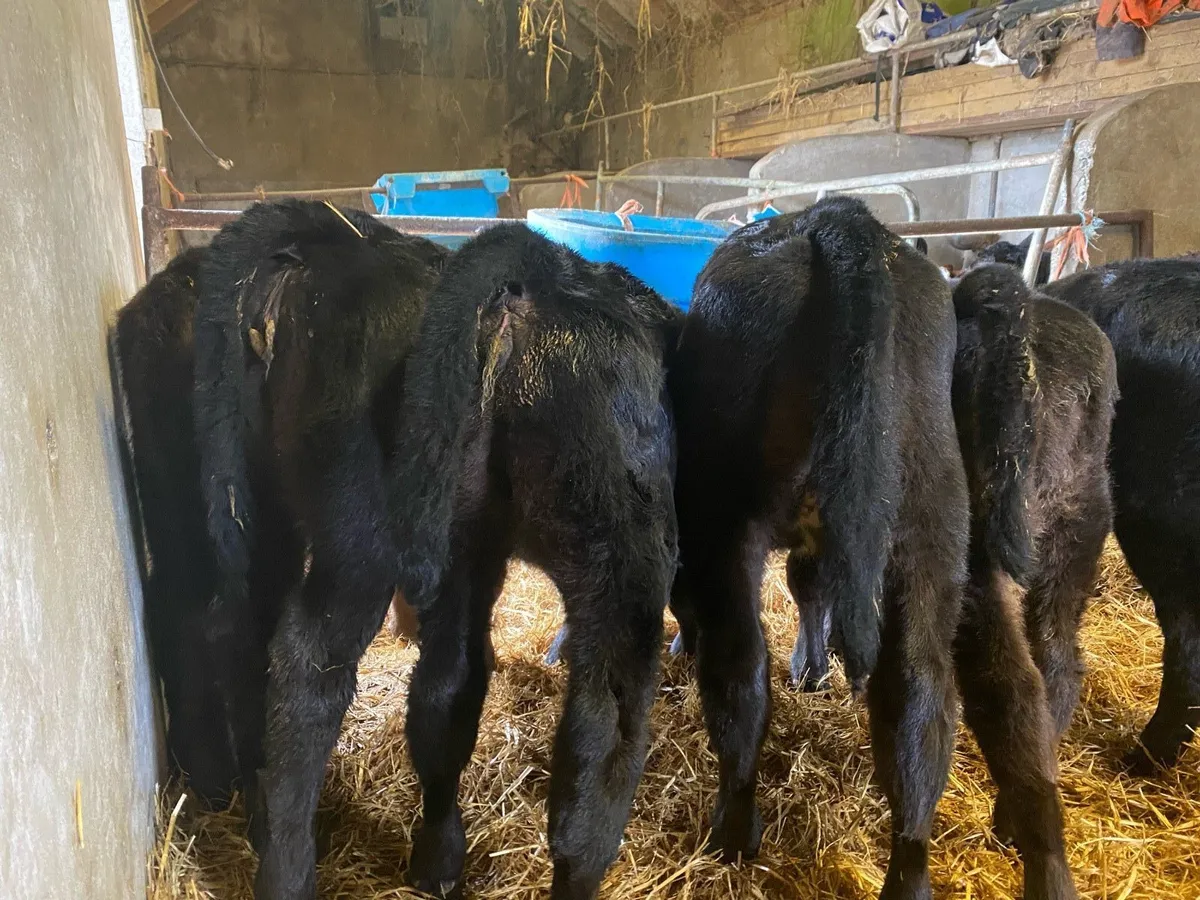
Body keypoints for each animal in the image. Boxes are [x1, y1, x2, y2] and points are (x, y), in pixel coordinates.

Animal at [191, 199, 449, 900]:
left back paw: (257, 815)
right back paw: (288, 868)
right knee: (310, 662)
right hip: (355, 526)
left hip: (258, 487)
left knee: (238, 625)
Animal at [384, 223, 682, 900]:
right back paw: (582, 869)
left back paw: (437, 863)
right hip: (619, 549)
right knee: (604, 725)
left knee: (444, 691)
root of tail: (542, 271)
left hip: (462, 534)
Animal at [666, 197, 1080, 900]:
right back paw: (916, 868)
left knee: (739, 669)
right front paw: (814, 669)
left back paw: (732, 833)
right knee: (924, 698)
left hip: (726, 523)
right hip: (925, 514)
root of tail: (838, 218)